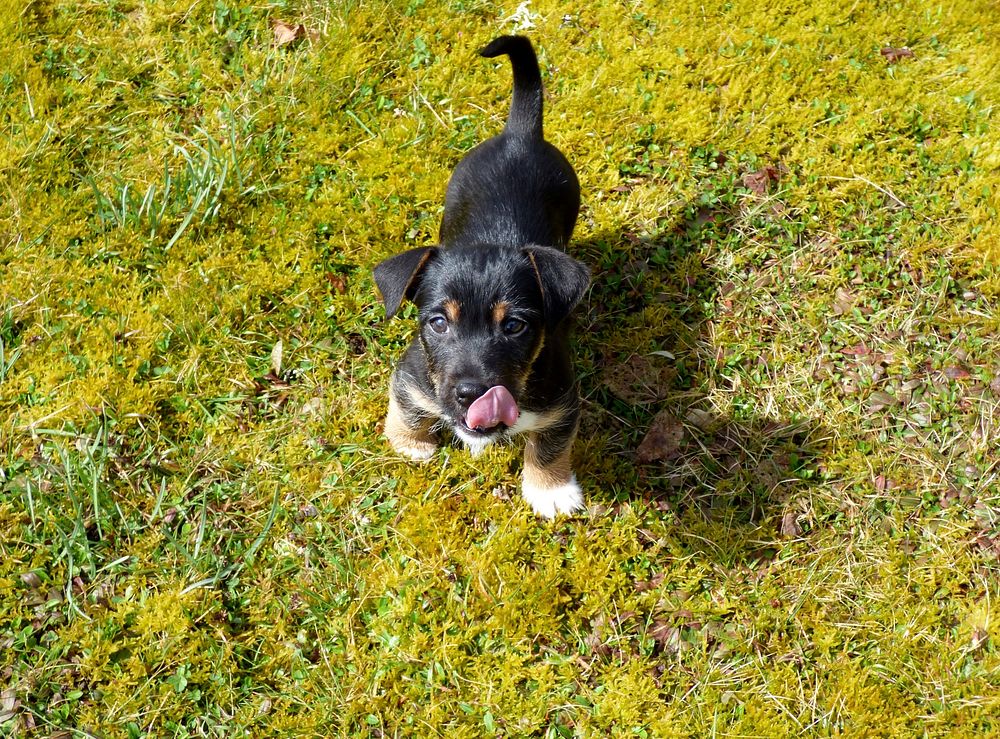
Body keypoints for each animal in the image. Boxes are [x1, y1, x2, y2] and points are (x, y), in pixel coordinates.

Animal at [376, 36, 592, 520]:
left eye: (514, 326)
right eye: (438, 323)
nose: (472, 394)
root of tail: (519, 135)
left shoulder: (562, 400)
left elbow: (550, 443)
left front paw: (550, 490)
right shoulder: (413, 373)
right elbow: (407, 402)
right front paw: (410, 443)